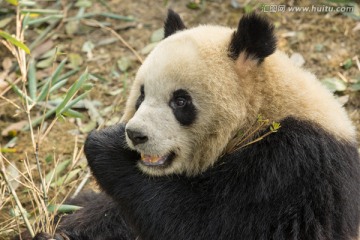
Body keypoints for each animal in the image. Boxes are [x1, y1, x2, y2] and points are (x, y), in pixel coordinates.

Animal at [37, 9, 360, 240]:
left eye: (180, 101)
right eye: (141, 95)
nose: (136, 134)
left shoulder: (291, 169)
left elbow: (203, 223)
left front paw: (105, 145)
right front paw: (68, 219)